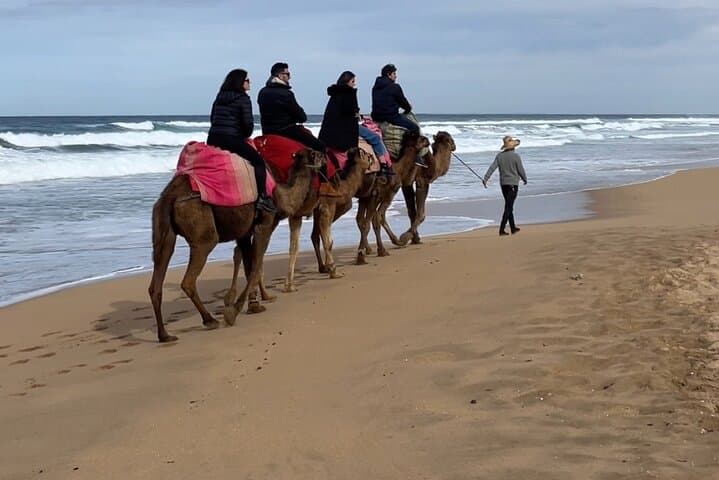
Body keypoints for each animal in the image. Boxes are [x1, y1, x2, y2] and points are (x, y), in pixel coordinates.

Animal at [147, 149, 324, 342]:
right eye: (314, 154)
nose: (324, 158)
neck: (280, 195)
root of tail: (169, 196)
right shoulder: (264, 226)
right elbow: (255, 268)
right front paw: (234, 312)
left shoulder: (244, 234)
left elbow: (249, 268)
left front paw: (255, 305)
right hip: (203, 232)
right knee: (189, 279)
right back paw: (209, 320)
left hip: (163, 233)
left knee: (157, 278)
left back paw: (165, 335)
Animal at [284, 146, 372, 292]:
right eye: (366, 154)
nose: (372, 158)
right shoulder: (328, 207)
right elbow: (328, 242)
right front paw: (334, 272)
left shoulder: (300, 214)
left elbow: (295, 246)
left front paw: (289, 286)